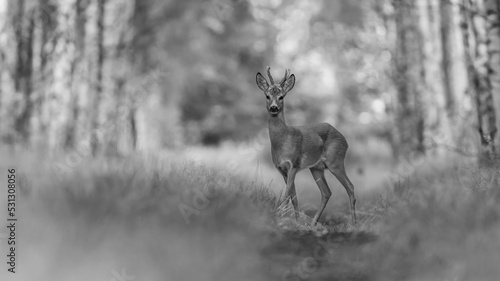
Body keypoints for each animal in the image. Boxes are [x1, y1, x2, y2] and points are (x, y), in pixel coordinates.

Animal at [256, 66, 358, 224]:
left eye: (281, 97)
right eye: (267, 96)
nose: (273, 108)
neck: (283, 139)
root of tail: (344, 139)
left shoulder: (294, 164)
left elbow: (287, 195)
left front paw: (280, 216)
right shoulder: (282, 169)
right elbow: (294, 198)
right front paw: (296, 221)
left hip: (336, 161)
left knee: (350, 186)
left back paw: (353, 223)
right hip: (316, 168)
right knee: (326, 192)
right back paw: (312, 224)